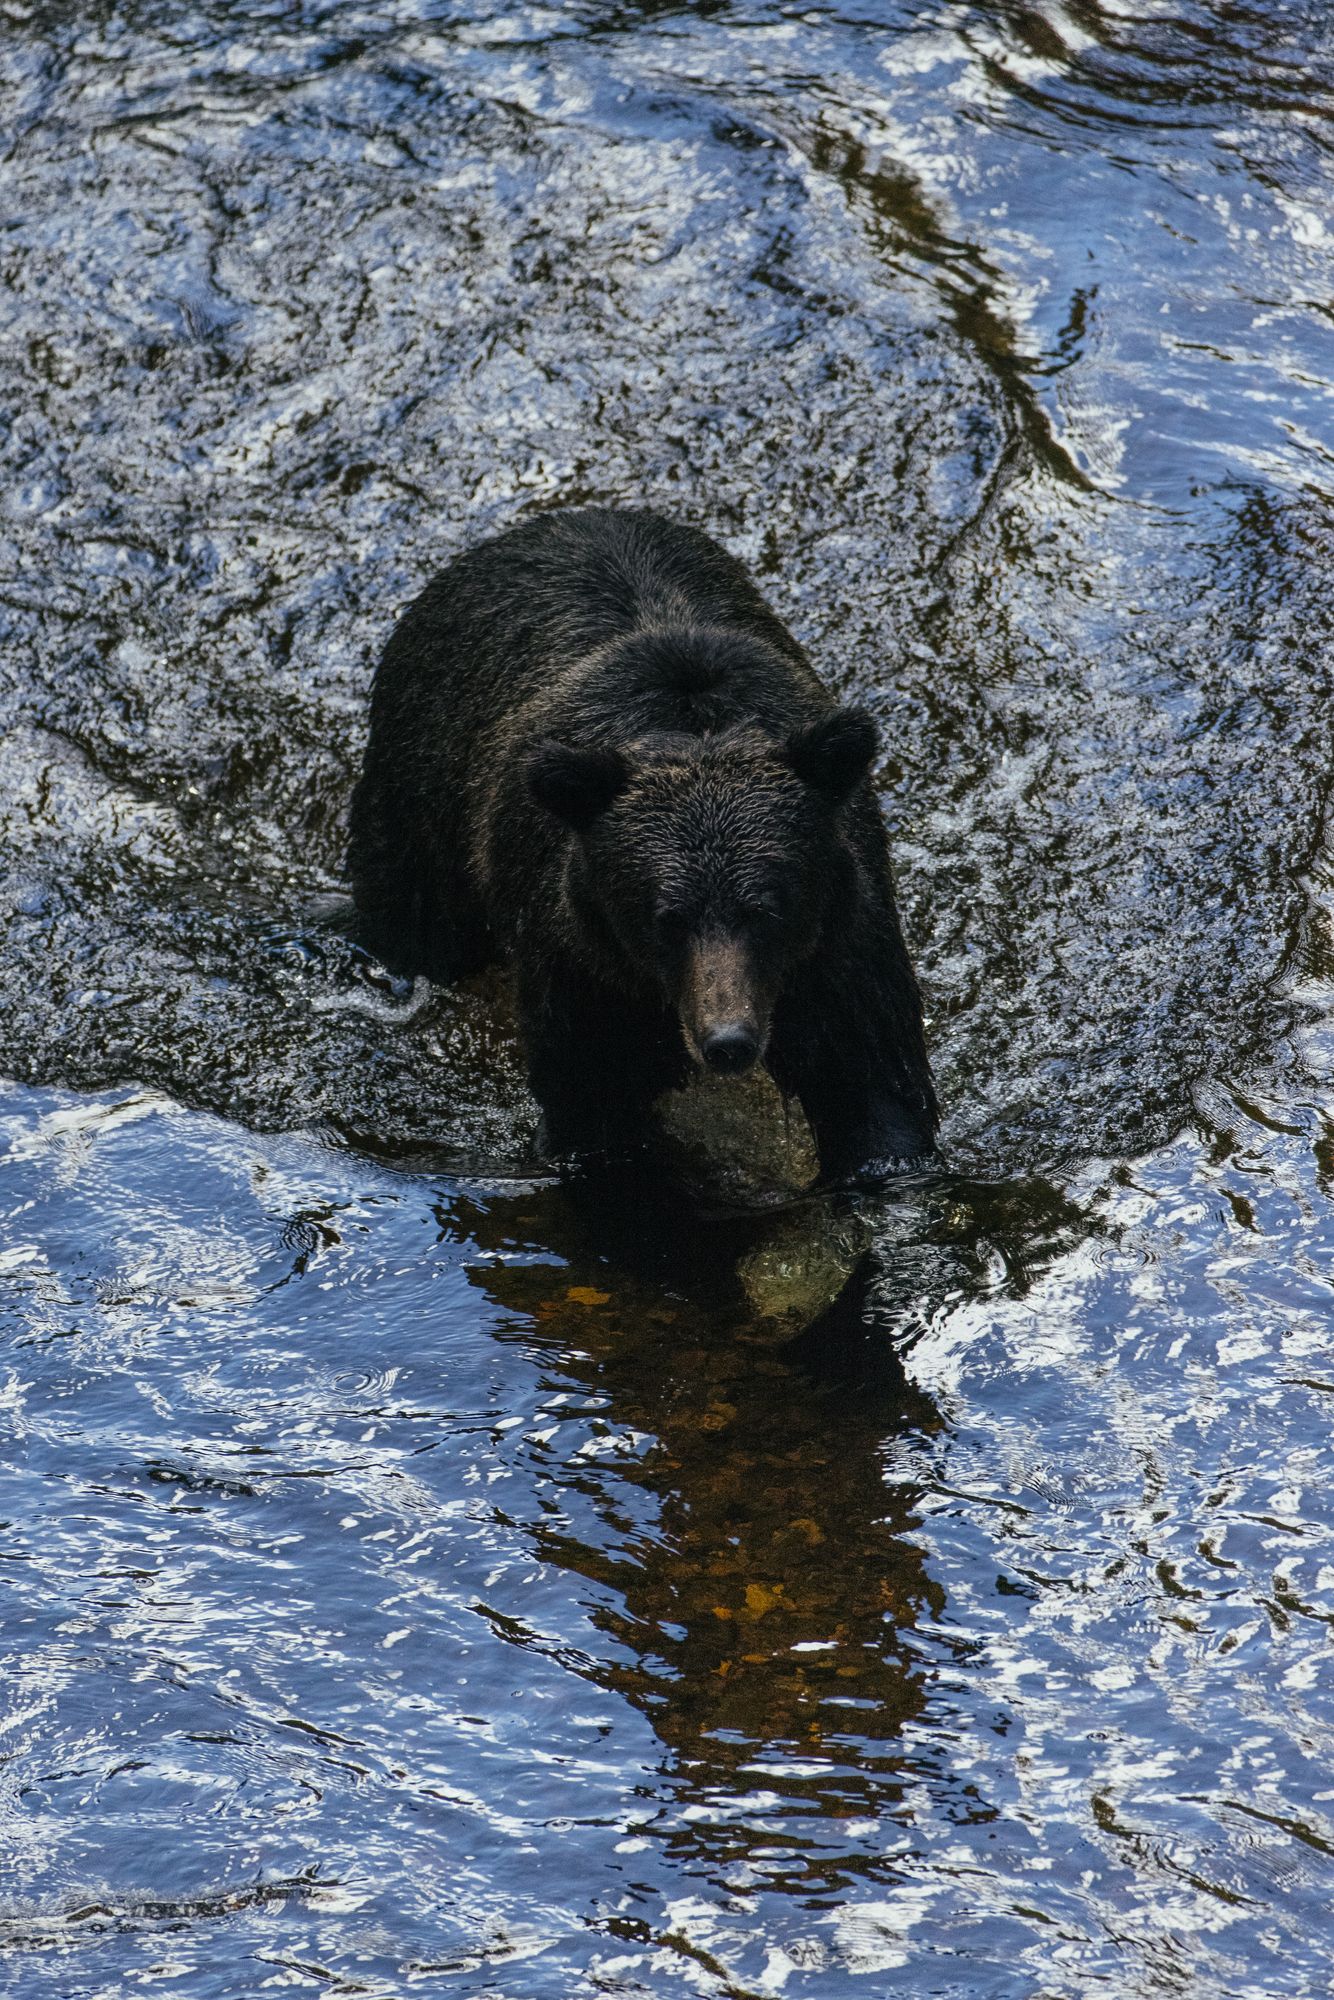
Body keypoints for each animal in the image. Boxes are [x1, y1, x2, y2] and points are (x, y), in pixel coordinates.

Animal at [347, 507, 937, 1181]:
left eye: (766, 909)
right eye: (666, 916)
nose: (728, 1042)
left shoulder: (837, 944)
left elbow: (872, 1084)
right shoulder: (583, 964)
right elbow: (594, 1102)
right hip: (423, 808)